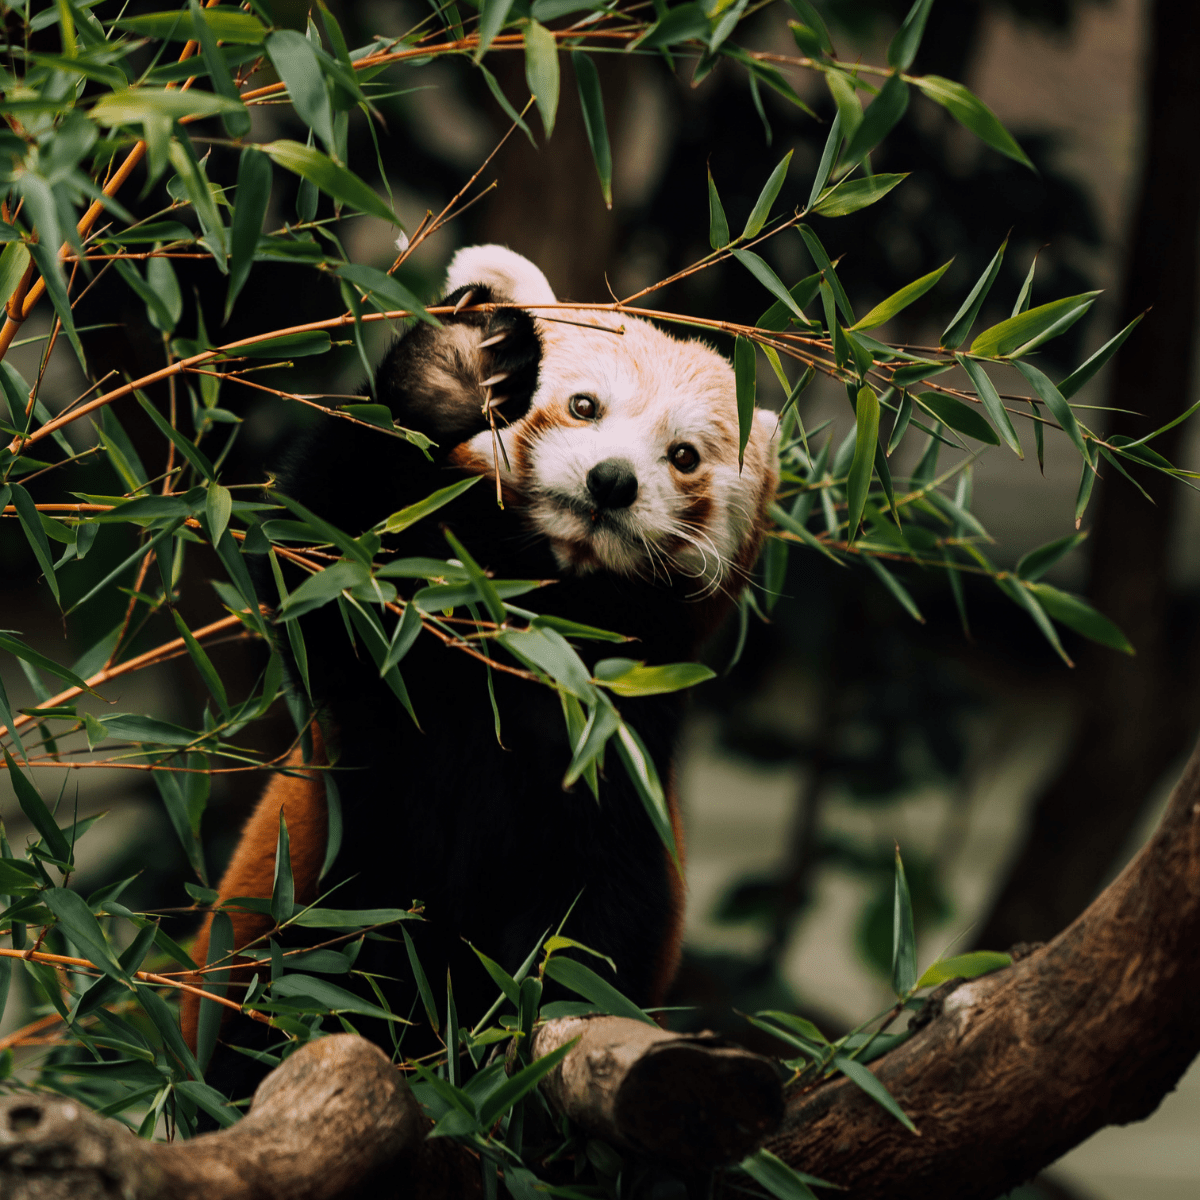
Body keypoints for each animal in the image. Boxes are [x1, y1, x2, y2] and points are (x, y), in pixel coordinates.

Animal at [180, 245, 779, 1090]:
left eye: (684, 456)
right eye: (584, 407)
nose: (612, 481)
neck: (536, 625)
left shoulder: (615, 747)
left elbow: (598, 926)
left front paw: (526, 1022)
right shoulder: (390, 660)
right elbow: (314, 551)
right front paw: (455, 370)